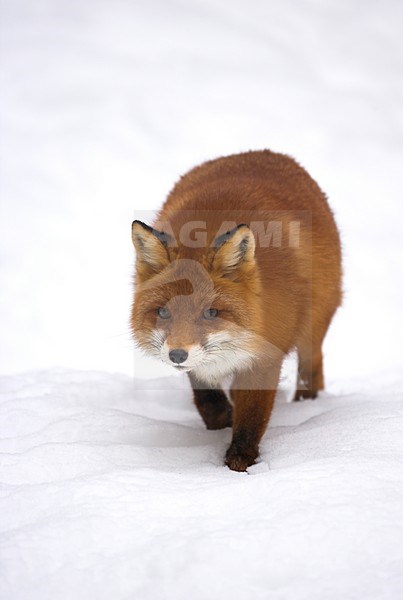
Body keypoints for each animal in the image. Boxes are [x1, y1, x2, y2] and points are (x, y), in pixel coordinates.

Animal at [131, 152, 342, 472]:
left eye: (211, 313)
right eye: (164, 313)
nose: (176, 355)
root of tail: (264, 153)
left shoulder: (266, 354)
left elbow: (252, 416)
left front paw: (240, 463)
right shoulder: (200, 362)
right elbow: (207, 398)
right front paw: (222, 420)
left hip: (314, 325)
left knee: (311, 366)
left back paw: (308, 404)